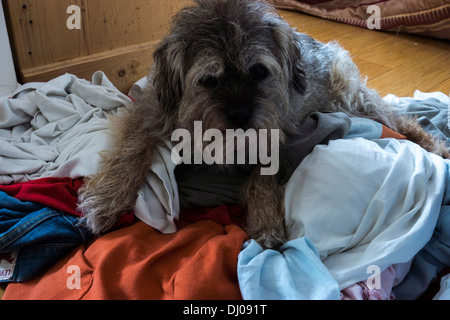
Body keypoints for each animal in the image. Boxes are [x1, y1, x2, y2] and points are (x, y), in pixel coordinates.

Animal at [76, 0, 446, 250]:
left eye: (258, 72)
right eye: (208, 80)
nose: (241, 117)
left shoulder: (276, 134)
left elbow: (262, 178)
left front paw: (265, 218)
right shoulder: (150, 115)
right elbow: (131, 150)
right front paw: (107, 197)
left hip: (352, 101)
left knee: (398, 118)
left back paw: (434, 144)